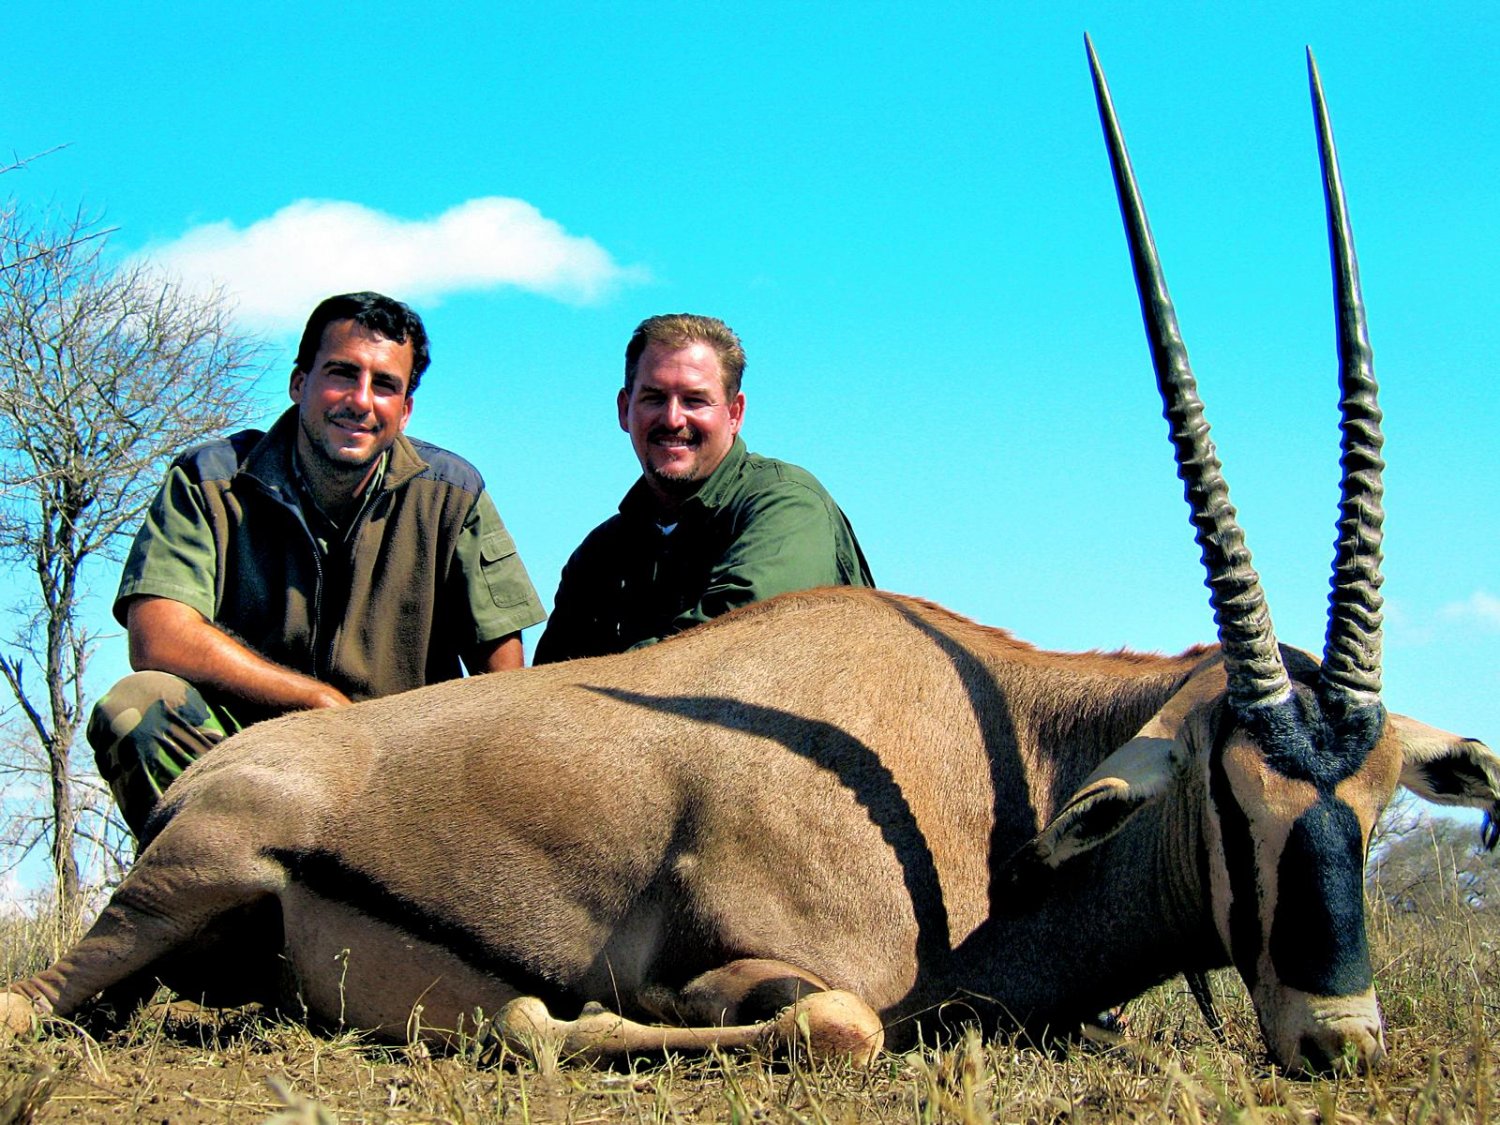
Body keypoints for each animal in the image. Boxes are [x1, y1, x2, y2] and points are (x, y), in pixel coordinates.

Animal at [3, 42, 1496, 1077]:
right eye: (1233, 797)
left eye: (1376, 797)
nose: (1341, 1038)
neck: (1001, 761)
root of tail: (237, 769)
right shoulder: (760, 968)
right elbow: (835, 1024)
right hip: (184, 883)